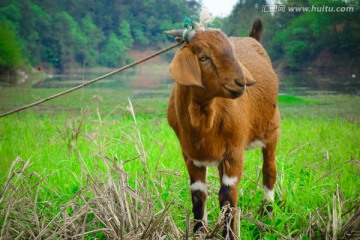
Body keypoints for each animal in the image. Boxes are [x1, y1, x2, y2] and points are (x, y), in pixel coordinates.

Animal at [167, 18, 282, 238]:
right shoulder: (190, 155)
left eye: (232, 53)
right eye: (203, 57)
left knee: (269, 171)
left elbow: (228, 194)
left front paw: (228, 234)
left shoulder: (235, 151)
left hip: (272, 130)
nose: (241, 82)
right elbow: (198, 194)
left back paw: (267, 216)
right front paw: (199, 232)